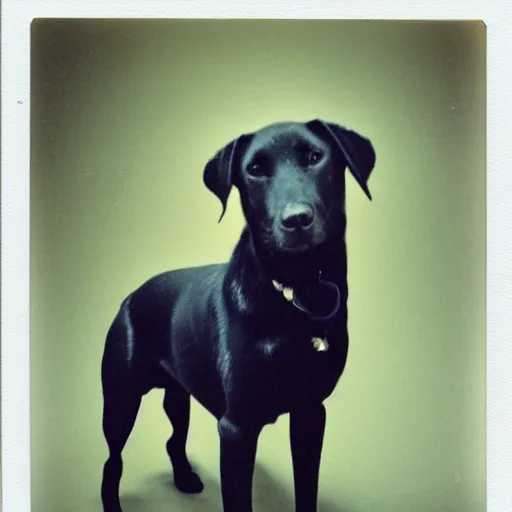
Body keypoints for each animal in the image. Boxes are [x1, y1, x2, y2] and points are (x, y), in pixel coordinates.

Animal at [100, 118, 376, 510]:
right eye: (256, 169)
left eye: (314, 156)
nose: (296, 219)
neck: (297, 295)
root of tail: (130, 296)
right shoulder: (237, 429)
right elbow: (238, 499)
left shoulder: (310, 412)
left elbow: (307, 489)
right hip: (121, 400)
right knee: (113, 461)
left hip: (178, 394)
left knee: (173, 439)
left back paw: (184, 479)